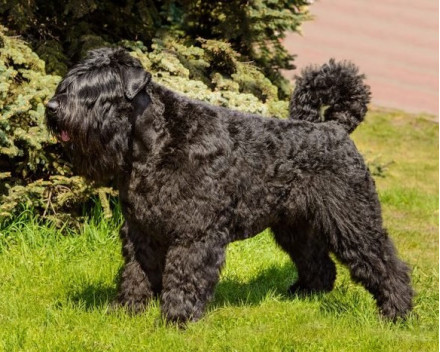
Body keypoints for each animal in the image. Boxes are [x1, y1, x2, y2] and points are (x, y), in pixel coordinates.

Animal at [46, 48, 414, 324]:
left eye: (95, 91)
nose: (51, 107)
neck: (156, 140)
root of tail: (335, 127)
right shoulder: (141, 230)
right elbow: (136, 272)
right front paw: (127, 310)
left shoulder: (194, 232)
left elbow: (184, 275)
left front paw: (176, 320)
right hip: (294, 226)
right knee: (318, 262)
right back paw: (304, 295)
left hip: (352, 218)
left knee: (384, 261)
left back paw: (396, 313)